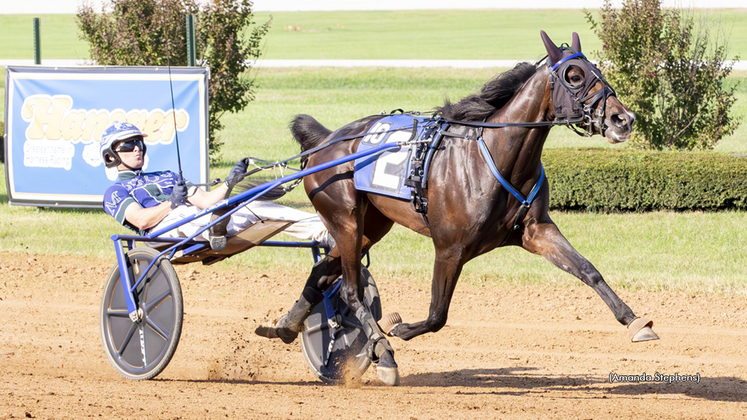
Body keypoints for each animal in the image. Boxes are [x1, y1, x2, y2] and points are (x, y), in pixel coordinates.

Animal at [258, 32, 660, 388]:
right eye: (574, 76)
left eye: (598, 70)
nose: (623, 119)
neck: (496, 156)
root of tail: (326, 139)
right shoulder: (450, 248)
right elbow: (437, 315)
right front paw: (399, 329)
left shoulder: (536, 230)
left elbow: (588, 270)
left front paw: (635, 321)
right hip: (345, 220)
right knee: (351, 291)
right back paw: (383, 353)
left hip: (371, 225)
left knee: (323, 273)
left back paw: (287, 326)